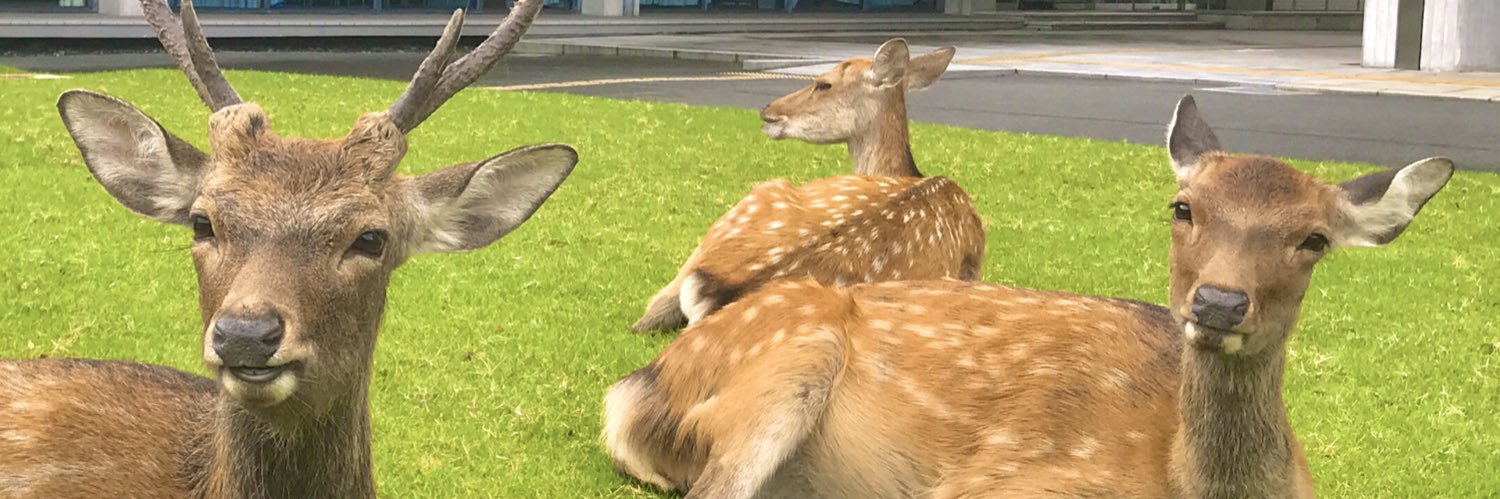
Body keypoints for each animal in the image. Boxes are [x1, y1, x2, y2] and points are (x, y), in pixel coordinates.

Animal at [602, 95, 1455, 498]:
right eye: (1183, 207)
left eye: (1314, 238)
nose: (1218, 303)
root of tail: (631, 386)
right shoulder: (1000, 482)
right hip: (788, 357)